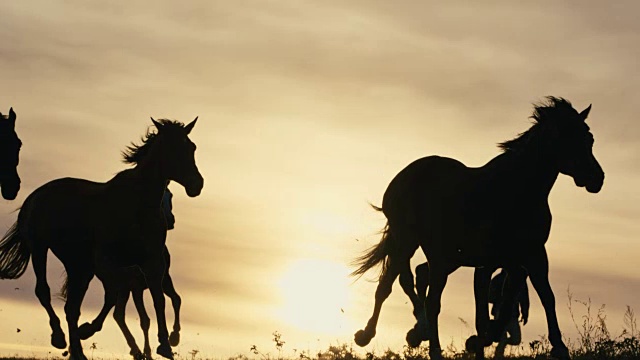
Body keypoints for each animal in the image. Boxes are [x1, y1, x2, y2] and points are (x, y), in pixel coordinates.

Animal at [0, 118, 202, 360]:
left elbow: (158, 299)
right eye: (171, 148)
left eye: (191, 147)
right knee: (44, 292)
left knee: (72, 307)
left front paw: (165, 344)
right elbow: (115, 301)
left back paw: (78, 351)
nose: (197, 184)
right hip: (40, 249)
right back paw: (59, 337)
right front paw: (87, 330)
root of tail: (35, 195)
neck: (137, 205)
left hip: (79, 264)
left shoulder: (152, 263)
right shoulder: (108, 263)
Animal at [356, 96, 604, 360]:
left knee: (407, 284)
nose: (597, 178)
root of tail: (402, 177)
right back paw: (414, 340)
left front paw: (558, 347)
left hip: (440, 255)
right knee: (411, 292)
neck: (517, 192)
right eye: (569, 138)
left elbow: (539, 297)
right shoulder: (495, 261)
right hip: (413, 244)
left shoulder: (529, 256)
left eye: (589, 138)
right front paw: (477, 341)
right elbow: (488, 311)